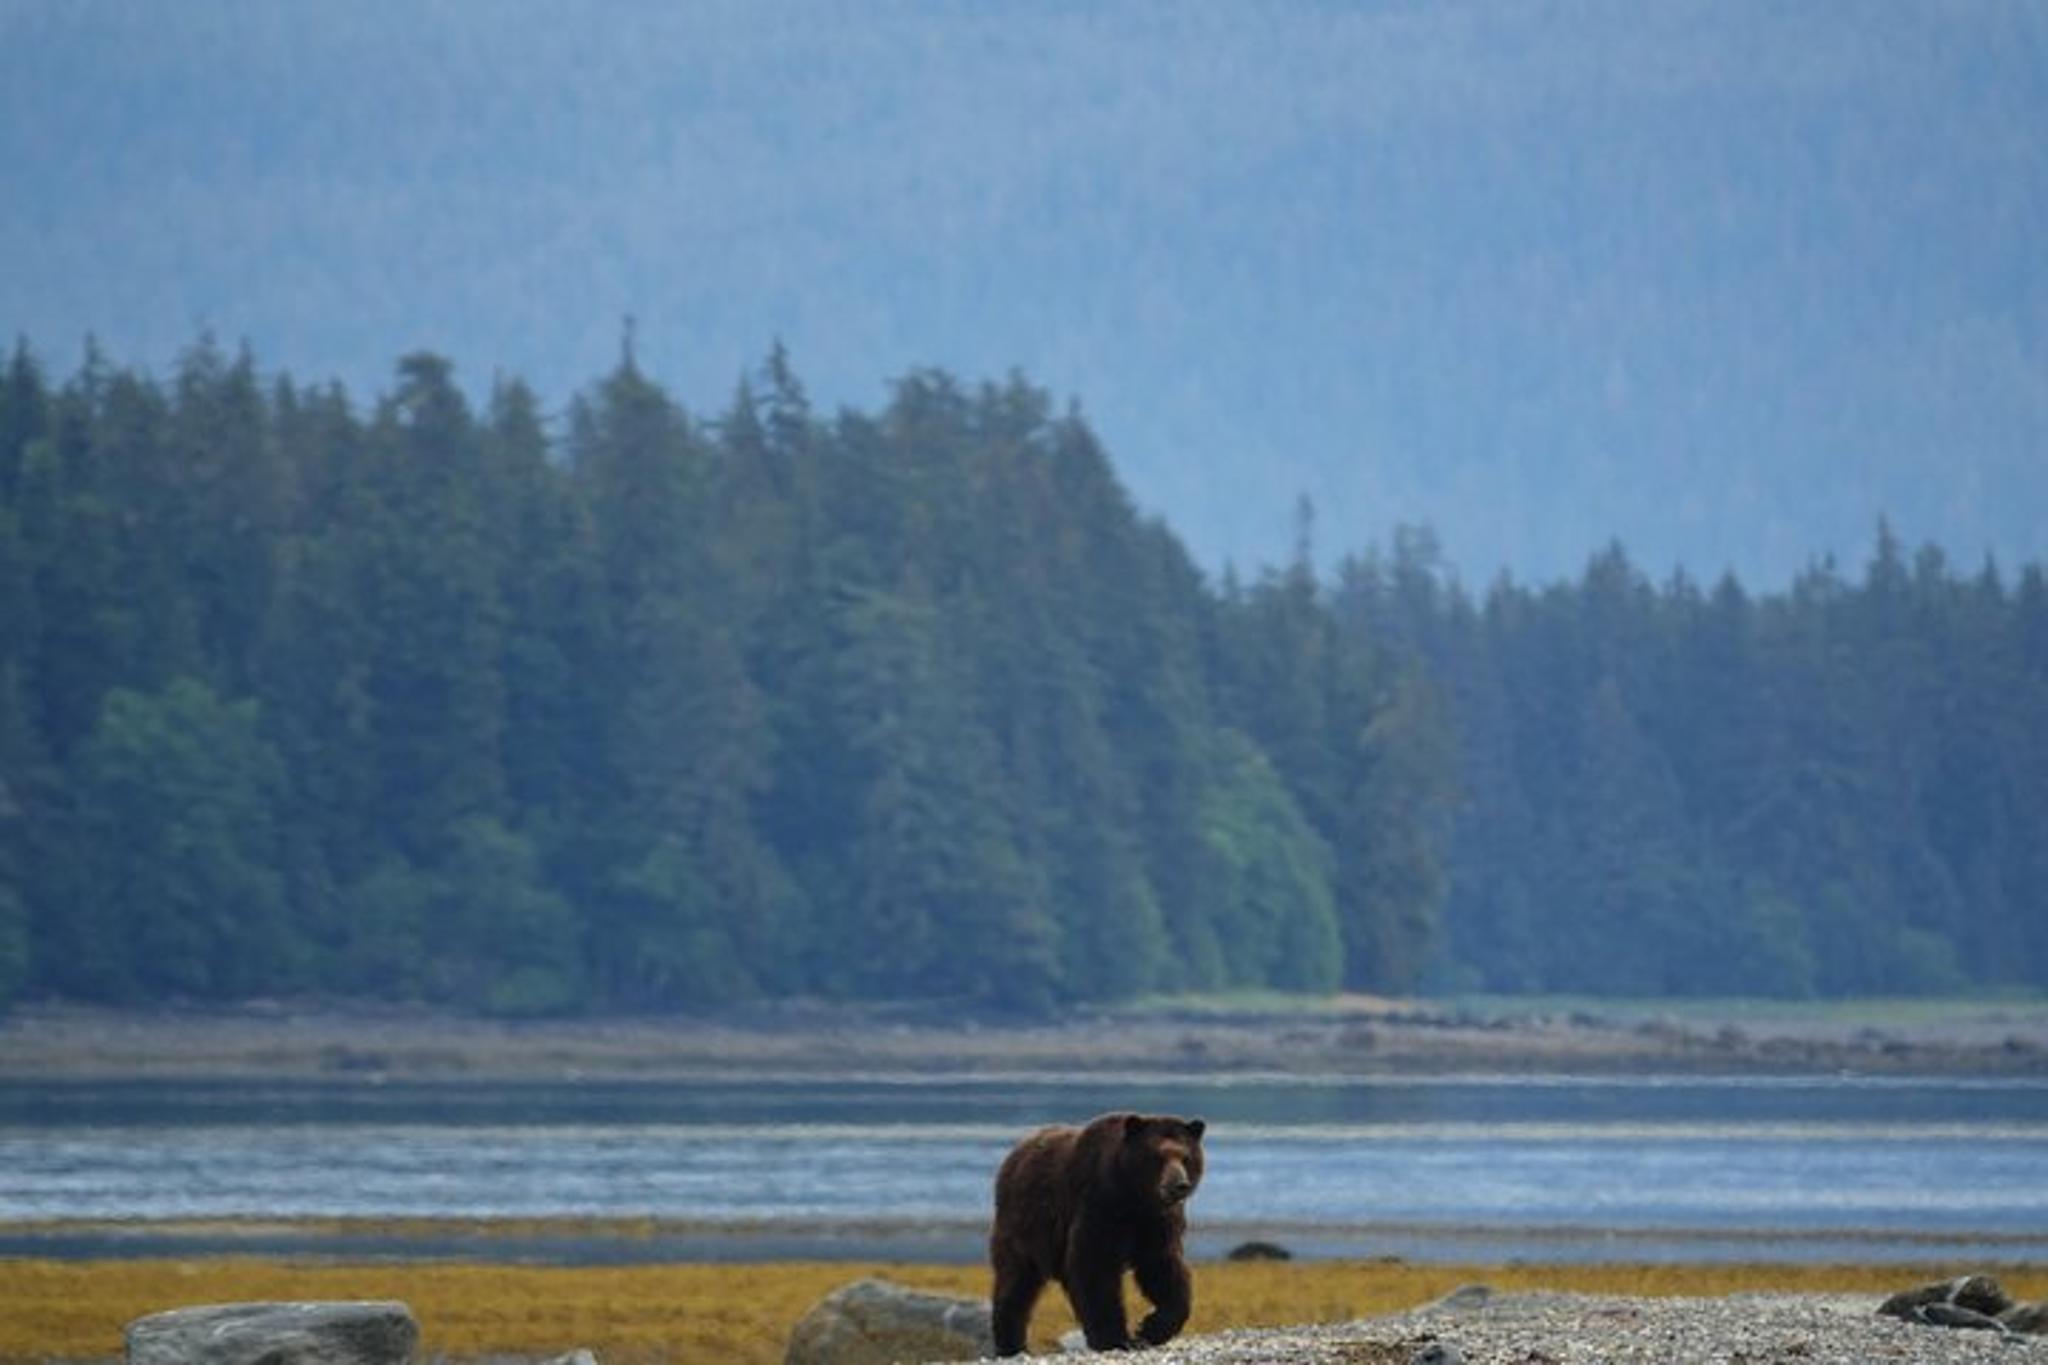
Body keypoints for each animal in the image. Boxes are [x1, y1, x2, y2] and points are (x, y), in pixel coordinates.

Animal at [988, 1110, 1206, 1355]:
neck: (1134, 1196)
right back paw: (1011, 1344)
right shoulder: (1098, 1203)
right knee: (1016, 1281)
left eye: (1185, 1157)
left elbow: (1163, 1266)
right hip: (1024, 1225)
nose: (1179, 1185)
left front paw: (1150, 1329)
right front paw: (1115, 1338)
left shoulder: (1156, 1222)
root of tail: (1013, 1155)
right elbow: (1094, 1266)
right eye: (1157, 1156)